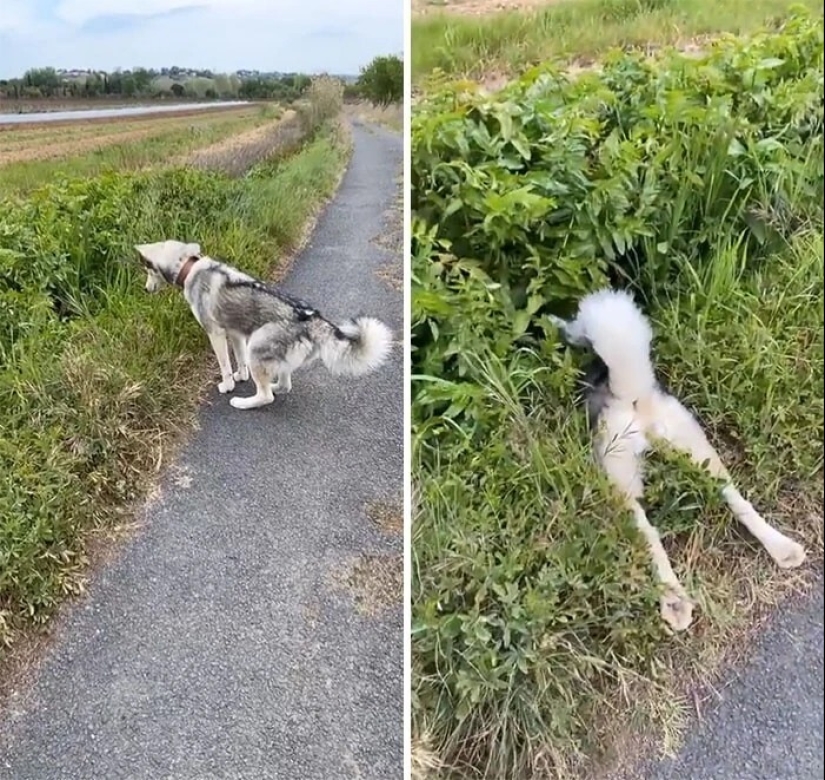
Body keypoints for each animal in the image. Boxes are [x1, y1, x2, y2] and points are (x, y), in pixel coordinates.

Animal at [135, 239, 392, 412]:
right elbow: (239, 362)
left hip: (256, 346)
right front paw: (241, 376)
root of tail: (312, 318)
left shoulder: (215, 334)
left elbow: (224, 366)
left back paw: (243, 402)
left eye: (147, 269)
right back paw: (275, 384)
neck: (189, 267)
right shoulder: (236, 334)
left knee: (266, 396)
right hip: (266, 351)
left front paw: (228, 385)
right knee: (284, 383)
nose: (145, 290)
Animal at [548, 290, 804, 632]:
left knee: (650, 536)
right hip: (699, 450)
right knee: (737, 499)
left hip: (622, 480)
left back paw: (674, 602)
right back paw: (783, 549)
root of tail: (633, 395)